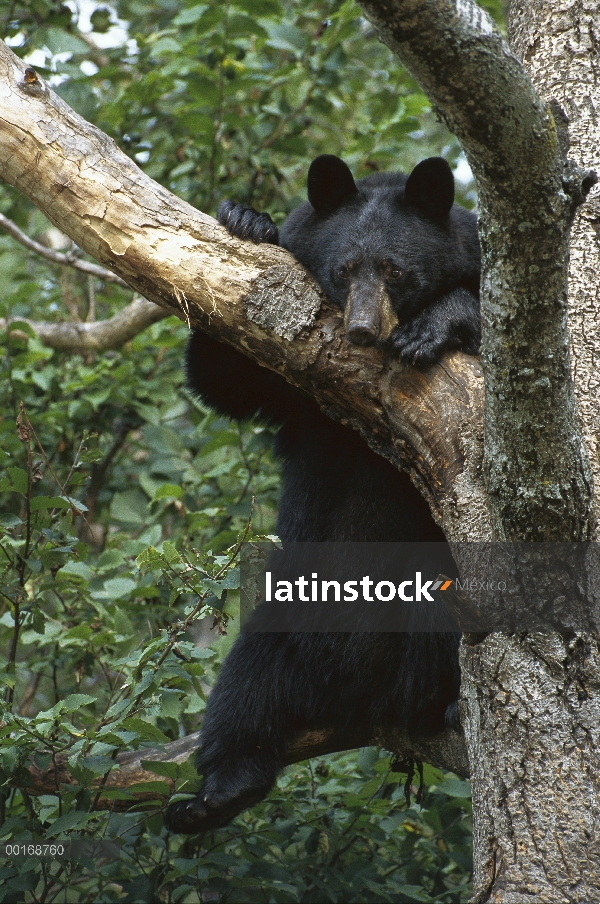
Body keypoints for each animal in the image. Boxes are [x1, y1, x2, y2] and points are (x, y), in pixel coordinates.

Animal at [165, 154, 482, 832]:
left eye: (395, 270)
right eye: (343, 269)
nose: (362, 330)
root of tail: (364, 694)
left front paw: (433, 326)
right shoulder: (297, 394)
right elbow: (226, 379)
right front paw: (246, 218)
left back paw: (447, 707)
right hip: (291, 613)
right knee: (244, 684)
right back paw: (217, 791)